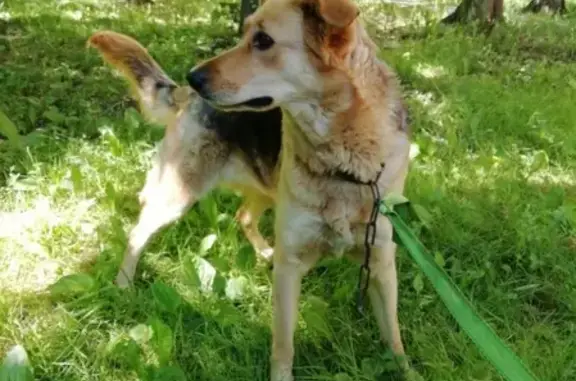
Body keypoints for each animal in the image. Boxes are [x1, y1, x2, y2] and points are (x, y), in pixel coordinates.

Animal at [88, 31, 284, 288]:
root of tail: (191, 93)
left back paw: (266, 254)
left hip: (265, 188)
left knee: (244, 217)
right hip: (179, 195)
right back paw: (124, 285)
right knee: (137, 234)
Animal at [187, 0, 412, 378]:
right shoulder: (289, 266)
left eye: (263, 41)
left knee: (243, 214)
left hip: (266, 189)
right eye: (245, 34)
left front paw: (409, 371)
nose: (191, 77)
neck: (346, 168)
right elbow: (283, 345)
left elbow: (394, 337)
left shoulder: (381, 259)